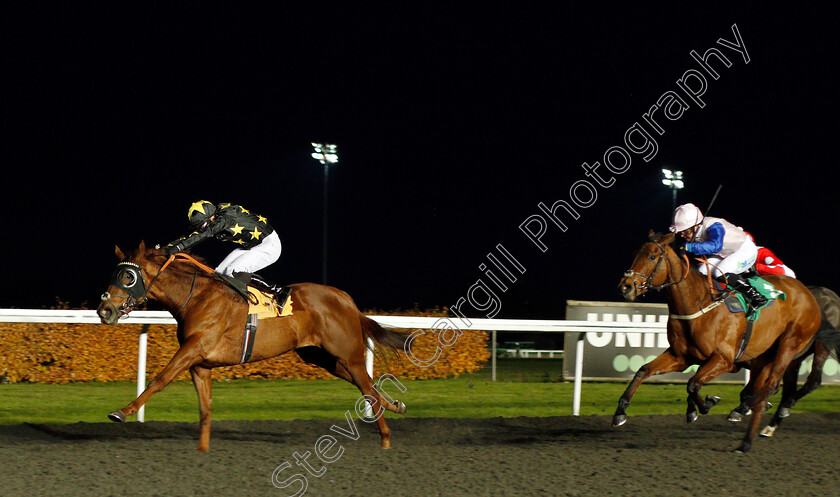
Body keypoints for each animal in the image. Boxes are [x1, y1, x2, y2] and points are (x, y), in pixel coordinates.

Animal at [98, 240, 410, 450]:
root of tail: (347, 300)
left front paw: (122, 412)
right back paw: (396, 405)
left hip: (348, 354)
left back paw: (385, 437)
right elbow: (205, 408)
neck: (196, 297)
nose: (104, 311)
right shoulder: (200, 364)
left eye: (127, 276)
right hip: (322, 357)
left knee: (367, 387)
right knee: (365, 385)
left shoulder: (193, 349)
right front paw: (202, 450)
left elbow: (160, 379)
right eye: (114, 275)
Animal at [612, 231, 824, 452]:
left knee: (771, 386)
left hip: (789, 344)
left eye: (652, 256)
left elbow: (693, 383)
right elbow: (644, 370)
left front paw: (706, 404)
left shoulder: (724, 360)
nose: (625, 287)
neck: (698, 304)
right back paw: (746, 427)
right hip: (765, 356)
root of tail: (808, 293)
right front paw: (620, 412)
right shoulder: (680, 356)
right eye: (635, 254)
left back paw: (747, 416)